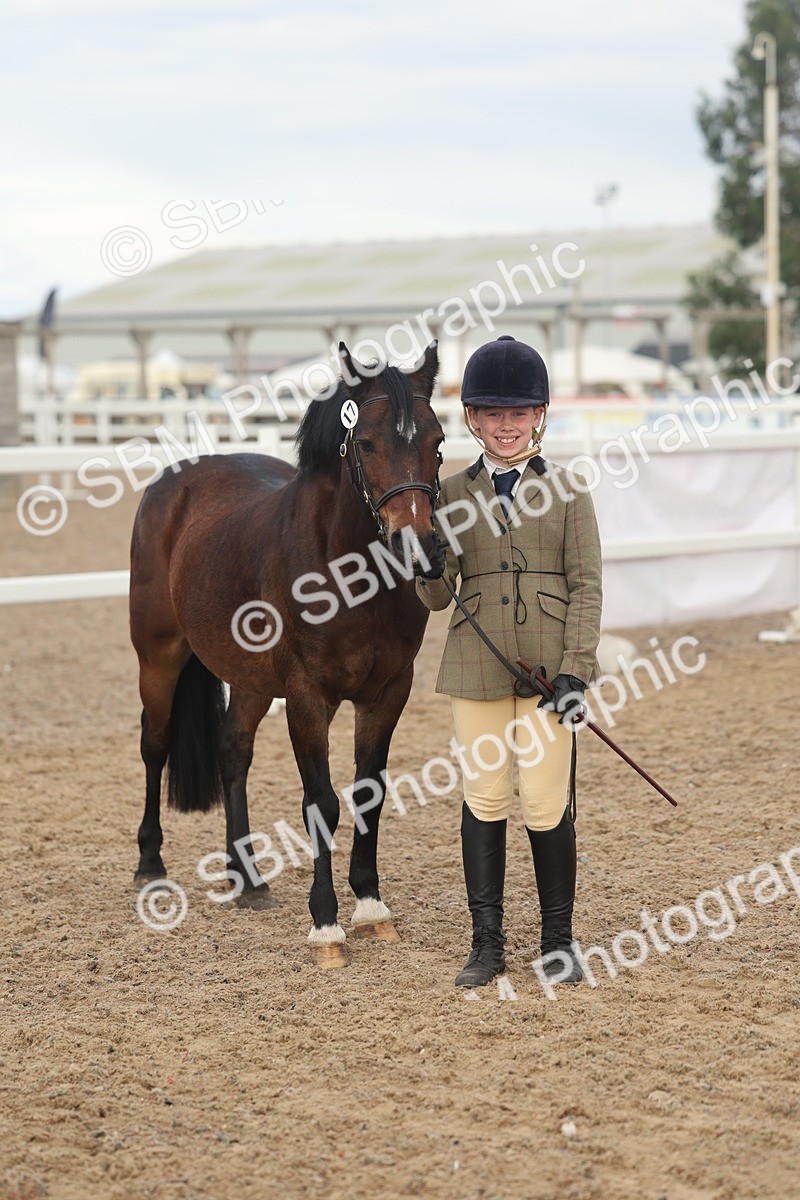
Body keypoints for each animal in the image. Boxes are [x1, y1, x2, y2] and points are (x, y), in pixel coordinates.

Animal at [129, 343, 445, 967]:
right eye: (365, 443)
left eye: (439, 440)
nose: (417, 549)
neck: (348, 576)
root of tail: (173, 483)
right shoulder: (306, 697)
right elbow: (321, 802)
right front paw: (326, 926)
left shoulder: (388, 692)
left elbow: (369, 794)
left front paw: (372, 908)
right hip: (158, 656)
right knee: (155, 744)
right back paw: (151, 863)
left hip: (251, 680)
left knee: (232, 751)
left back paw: (247, 878)